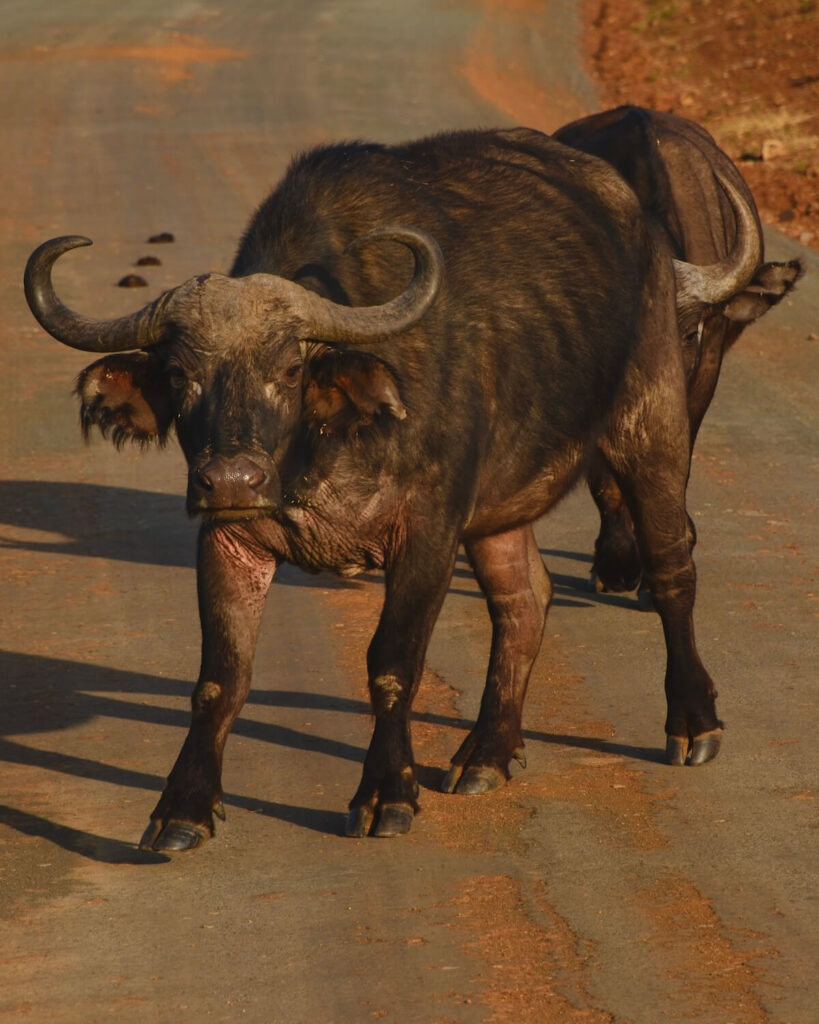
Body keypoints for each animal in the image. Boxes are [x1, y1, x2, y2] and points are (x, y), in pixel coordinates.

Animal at [25, 125, 759, 850]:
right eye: (180, 375)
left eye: (289, 368)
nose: (230, 478)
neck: (321, 448)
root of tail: (644, 233)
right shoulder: (229, 539)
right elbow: (219, 679)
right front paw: (183, 808)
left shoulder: (427, 532)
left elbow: (392, 665)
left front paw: (386, 794)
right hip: (498, 511)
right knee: (524, 599)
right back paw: (487, 752)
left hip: (652, 423)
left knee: (672, 565)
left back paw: (693, 724)